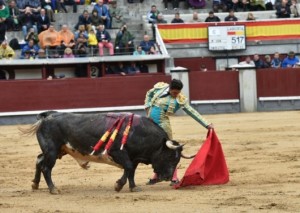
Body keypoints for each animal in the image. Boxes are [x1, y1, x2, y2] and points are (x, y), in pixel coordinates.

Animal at [22, 110, 190, 194]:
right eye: (170, 156)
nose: (168, 177)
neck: (140, 133)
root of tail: (47, 117)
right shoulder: (118, 153)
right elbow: (128, 168)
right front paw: (120, 186)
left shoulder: (133, 157)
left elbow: (131, 171)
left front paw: (132, 187)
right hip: (52, 150)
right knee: (46, 167)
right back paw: (53, 189)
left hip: (57, 151)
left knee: (39, 160)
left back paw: (35, 184)